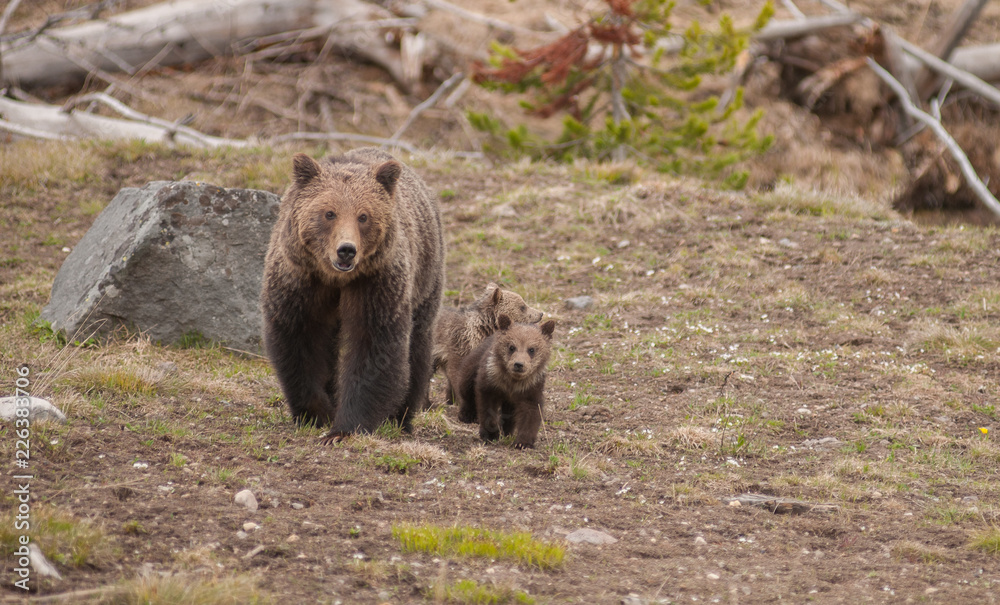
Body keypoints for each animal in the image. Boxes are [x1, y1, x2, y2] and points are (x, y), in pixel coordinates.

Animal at [262, 146, 442, 438]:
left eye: (363, 216)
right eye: (329, 213)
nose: (346, 250)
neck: (335, 278)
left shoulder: (376, 282)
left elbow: (372, 346)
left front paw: (344, 428)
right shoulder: (301, 280)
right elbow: (301, 341)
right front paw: (317, 412)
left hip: (426, 275)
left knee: (417, 344)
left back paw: (401, 416)